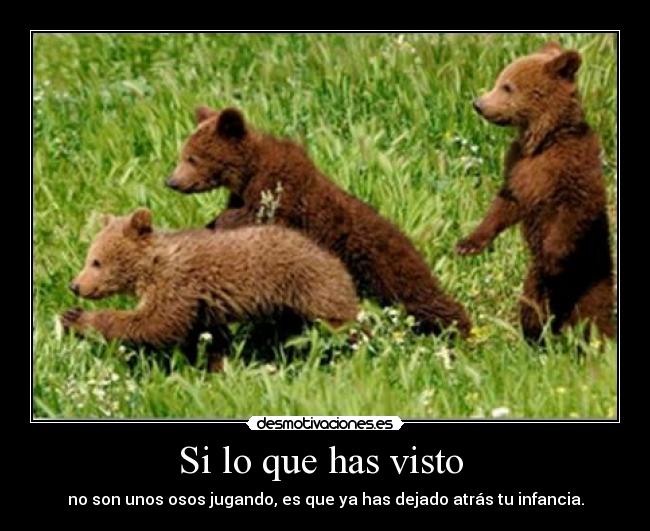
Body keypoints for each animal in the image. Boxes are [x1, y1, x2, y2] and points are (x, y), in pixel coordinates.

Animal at [61, 208, 359, 371]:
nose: (75, 285)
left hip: (310, 286)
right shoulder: (201, 307)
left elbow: (155, 323)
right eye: (89, 257)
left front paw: (77, 318)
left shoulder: (178, 286)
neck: (151, 269)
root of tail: (336, 260)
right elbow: (211, 340)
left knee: (341, 322)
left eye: (96, 261)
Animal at [165, 107, 471, 338]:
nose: (171, 181)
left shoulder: (281, 190)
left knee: (419, 293)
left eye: (192, 157)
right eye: (183, 154)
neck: (249, 172)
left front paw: (218, 225)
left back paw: (460, 331)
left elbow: (257, 217)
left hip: (383, 261)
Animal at [456, 42, 615, 341]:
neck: (544, 140)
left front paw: (552, 256)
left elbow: (576, 209)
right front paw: (468, 243)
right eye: (500, 80)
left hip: (591, 278)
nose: (478, 104)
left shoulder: (573, 166)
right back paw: (535, 338)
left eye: (507, 86)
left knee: (595, 316)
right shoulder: (519, 168)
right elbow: (505, 205)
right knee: (532, 308)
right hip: (533, 286)